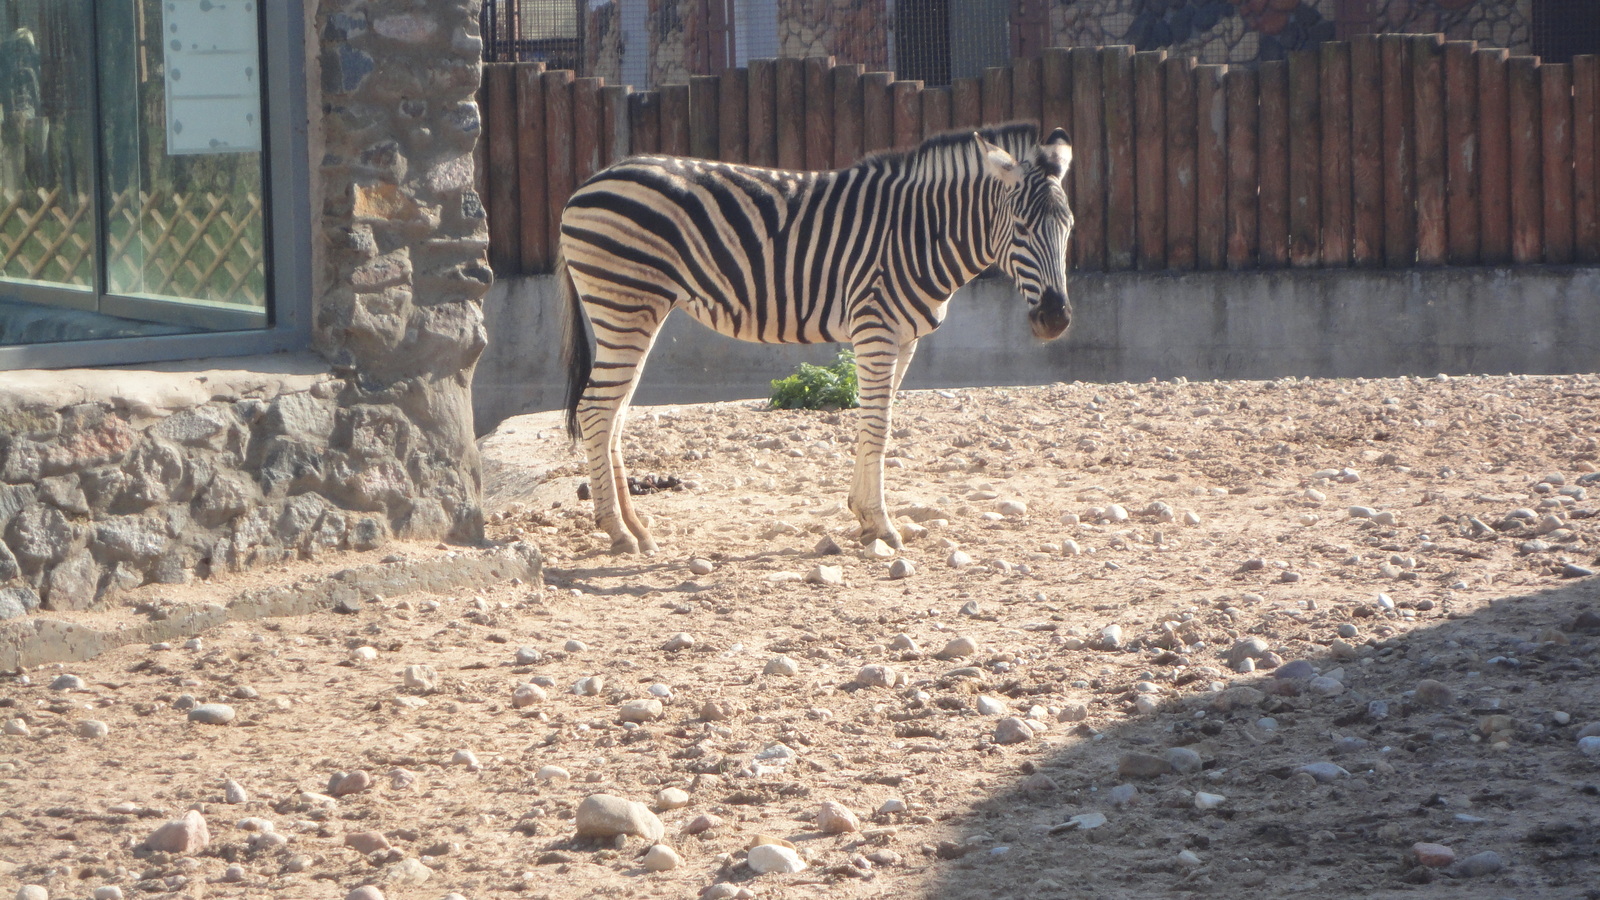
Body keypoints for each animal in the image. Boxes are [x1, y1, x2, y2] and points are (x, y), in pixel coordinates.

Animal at [560, 119, 1075, 554]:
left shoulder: (904, 338)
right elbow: (878, 426)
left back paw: (637, 528)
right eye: (1021, 228)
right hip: (625, 306)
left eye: (1068, 228)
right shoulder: (875, 328)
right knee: (595, 410)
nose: (1056, 319)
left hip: (638, 313)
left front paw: (865, 518)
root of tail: (587, 184)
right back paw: (618, 532)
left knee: (613, 415)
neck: (920, 233)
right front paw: (881, 524)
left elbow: (876, 422)